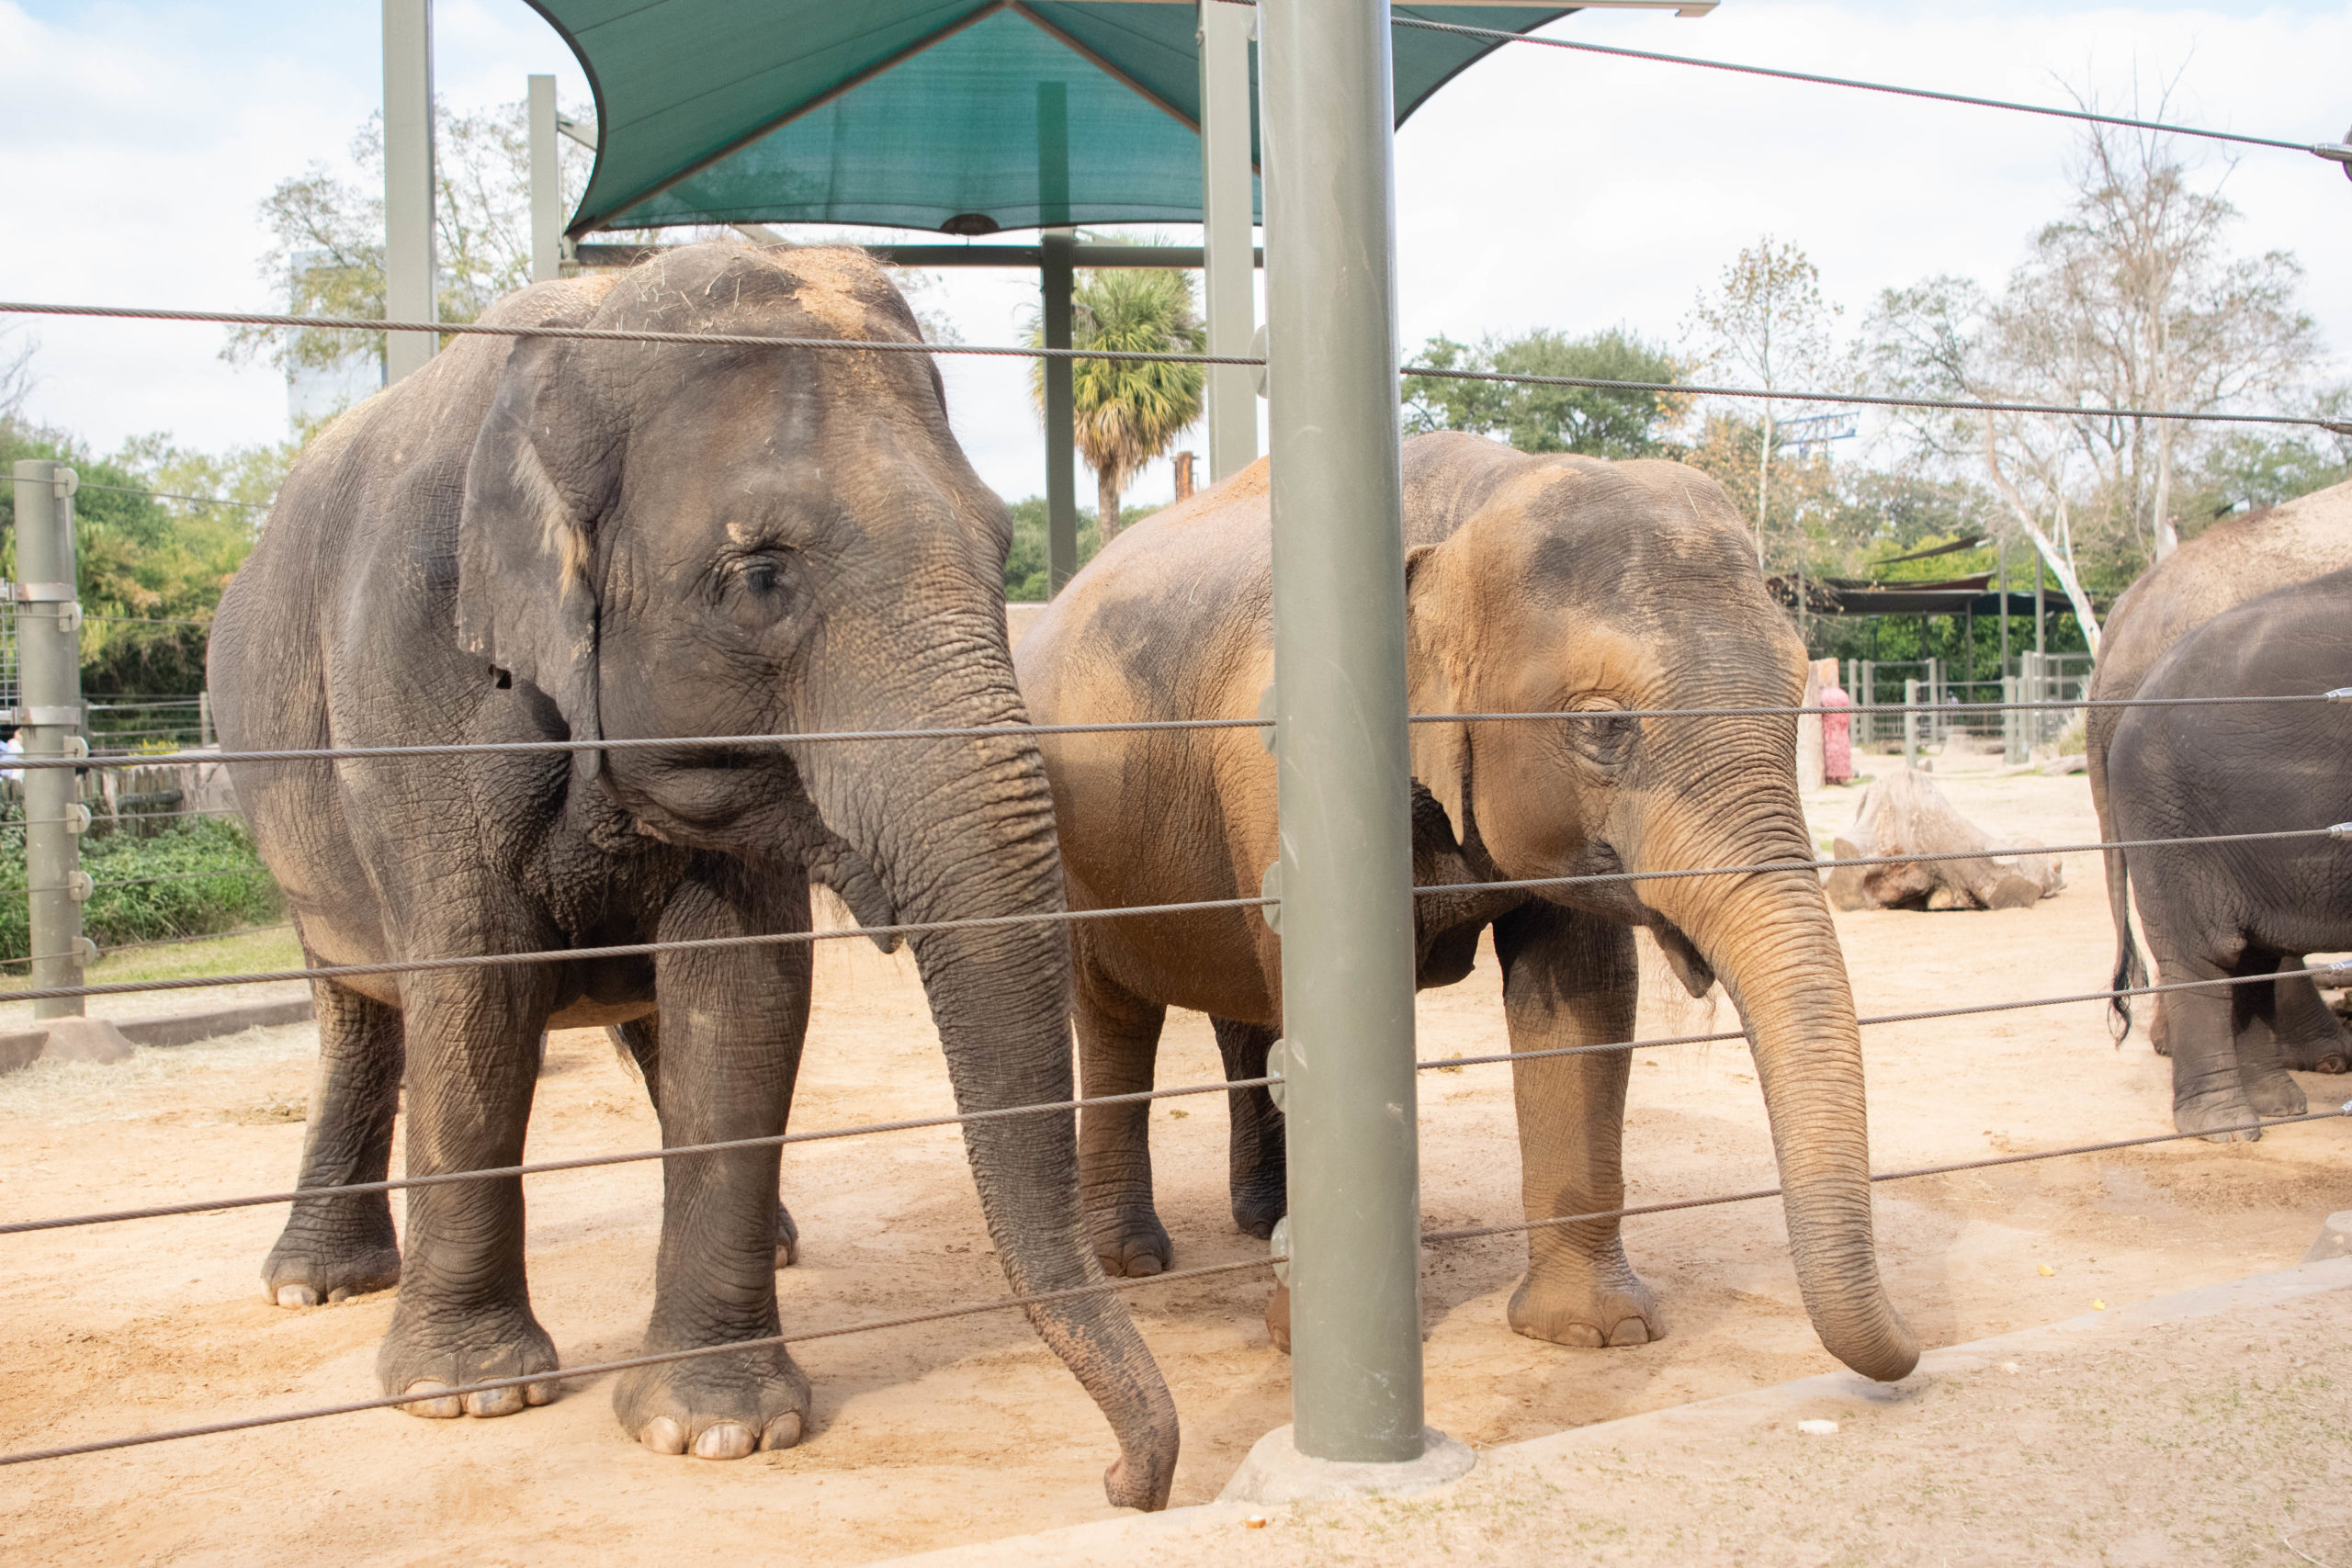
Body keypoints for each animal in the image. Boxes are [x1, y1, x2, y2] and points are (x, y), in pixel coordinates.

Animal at [207, 245, 1176, 1504]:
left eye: (993, 539)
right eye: (761, 576)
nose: (1124, 1484)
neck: (597, 329)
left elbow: (745, 995)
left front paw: (717, 1429)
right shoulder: (415, 684)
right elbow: (476, 991)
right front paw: (469, 1394)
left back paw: (779, 1243)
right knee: (360, 1008)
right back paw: (317, 1283)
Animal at [1021, 430, 1918, 1382]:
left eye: (1796, 704)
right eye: (1605, 724)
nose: (1913, 1348)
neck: (1477, 502)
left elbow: (1583, 998)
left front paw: (1595, 1333)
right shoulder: (1287, 768)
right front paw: (1313, 1344)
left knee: (1244, 1012)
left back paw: (1262, 1224)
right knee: (1118, 1018)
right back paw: (1133, 1257)